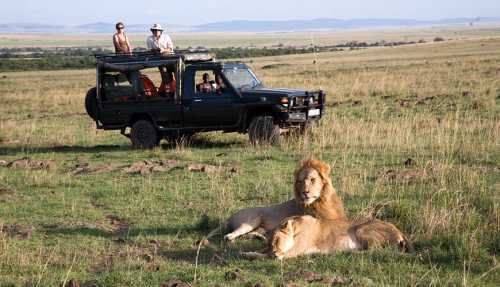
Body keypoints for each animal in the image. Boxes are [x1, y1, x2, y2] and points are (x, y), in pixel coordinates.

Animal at [206, 160, 344, 243]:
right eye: (300, 181)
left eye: (312, 179)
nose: (305, 192)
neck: (321, 201)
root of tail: (230, 216)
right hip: (252, 219)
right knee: (232, 234)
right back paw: (230, 238)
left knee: (249, 234)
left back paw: (262, 237)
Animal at [243, 216, 414, 260]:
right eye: (270, 242)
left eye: (277, 241)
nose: (274, 252)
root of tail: (399, 230)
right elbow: (262, 250)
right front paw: (246, 252)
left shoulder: (292, 252)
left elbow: (264, 256)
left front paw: (250, 254)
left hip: (361, 229)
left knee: (375, 251)